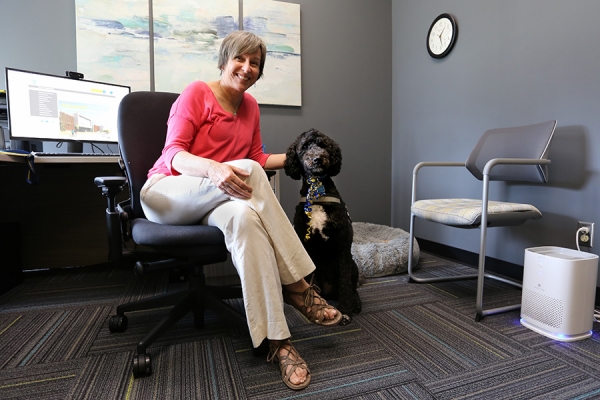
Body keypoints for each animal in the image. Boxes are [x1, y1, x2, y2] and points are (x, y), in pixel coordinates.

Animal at [284, 130, 364, 324]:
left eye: (323, 145)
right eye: (305, 146)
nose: (318, 159)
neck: (317, 192)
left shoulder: (343, 247)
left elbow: (345, 284)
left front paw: (345, 311)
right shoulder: (306, 247)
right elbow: (308, 281)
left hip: (353, 265)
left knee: (352, 287)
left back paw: (355, 302)